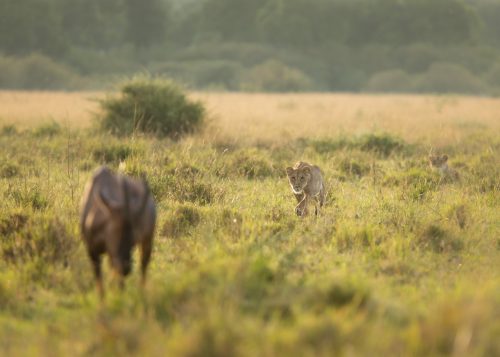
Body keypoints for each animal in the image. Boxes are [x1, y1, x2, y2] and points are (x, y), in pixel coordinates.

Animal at [80, 166, 156, 298]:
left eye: (133, 239)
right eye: (116, 232)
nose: (126, 269)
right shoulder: (92, 251)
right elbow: (100, 285)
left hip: (148, 240)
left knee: (143, 266)